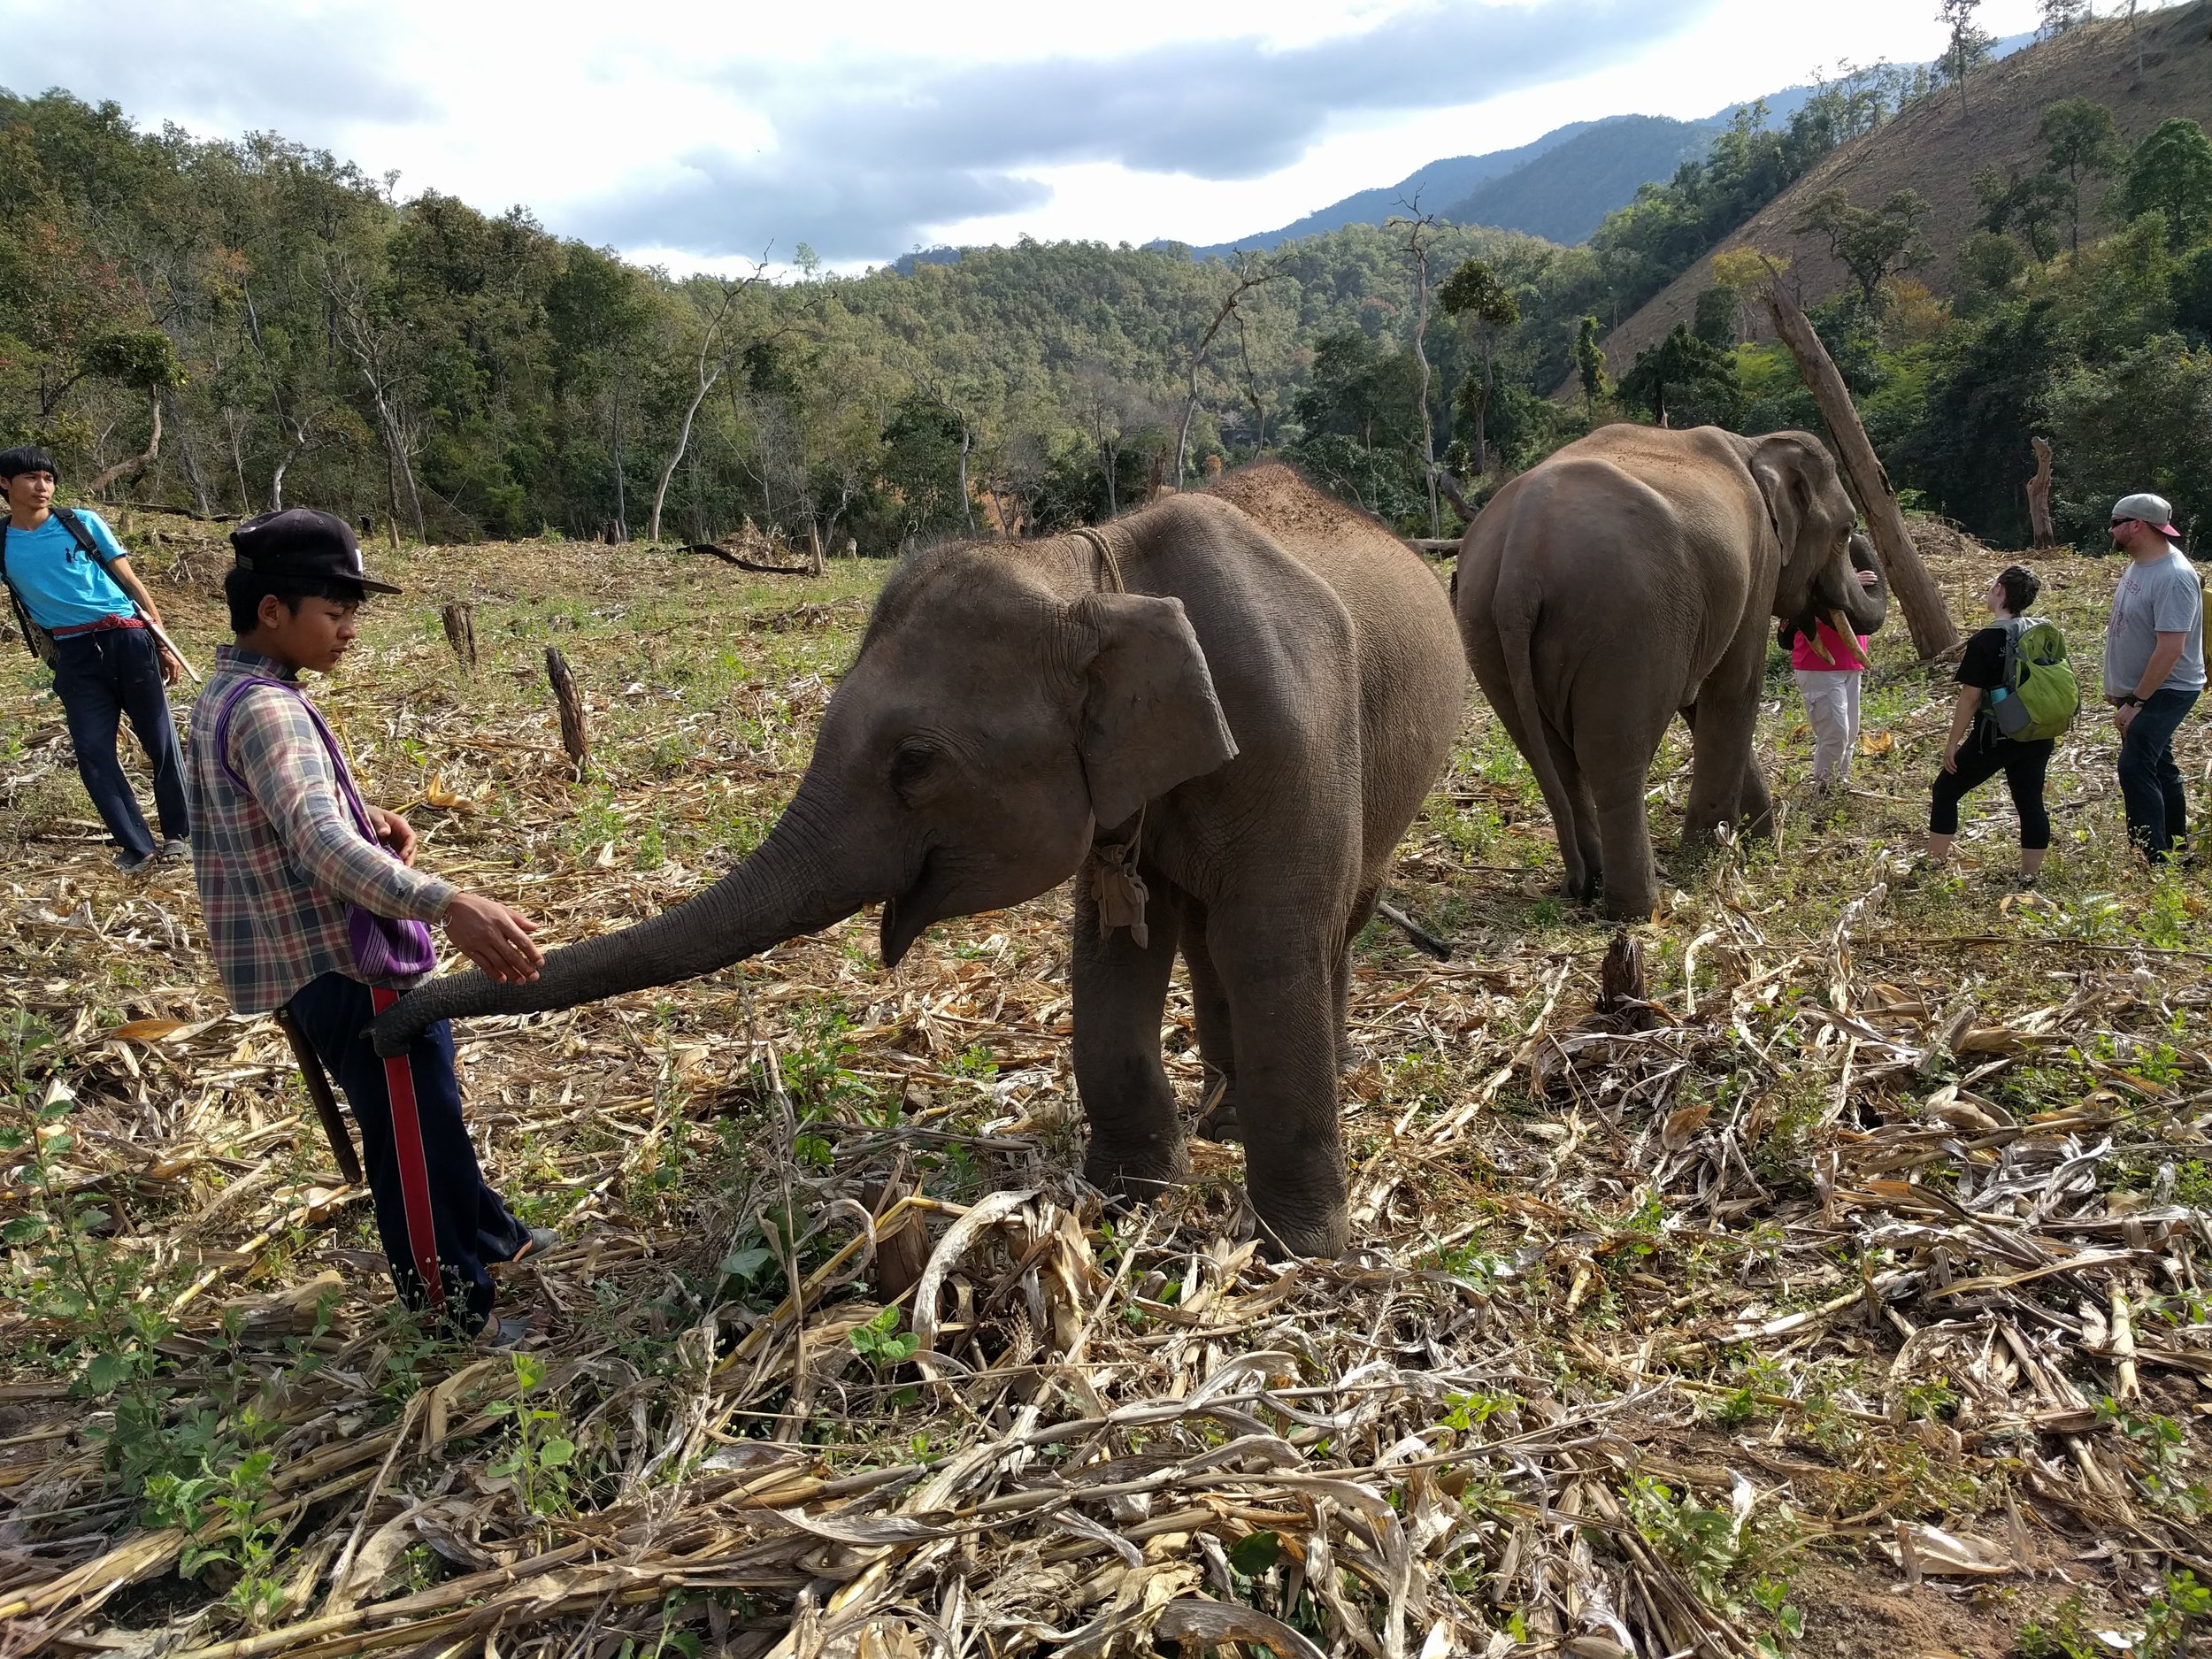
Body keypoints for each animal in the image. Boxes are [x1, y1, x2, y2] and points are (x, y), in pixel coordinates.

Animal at [372, 464, 1466, 1257]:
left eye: (915, 761)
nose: (391, 1028)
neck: (1092, 571)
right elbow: (1111, 949)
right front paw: (1122, 1201)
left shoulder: (1294, 735)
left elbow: (1273, 944)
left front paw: (1301, 1255)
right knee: (1210, 936)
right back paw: (1223, 1117)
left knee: (1324, 925)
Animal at [1454, 424, 1888, 921]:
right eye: (1846, 530)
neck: (1754, 443)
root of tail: (1518, 566)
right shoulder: (1756, 565)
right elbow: (1734, 688)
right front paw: (1714, 852)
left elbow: (1700, 703)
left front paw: (1758, 839)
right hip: (1626, 623)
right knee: (1615, 757)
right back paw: (1638, 910)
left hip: (1484, 633)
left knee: (1552, 758)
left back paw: (1588, 885)